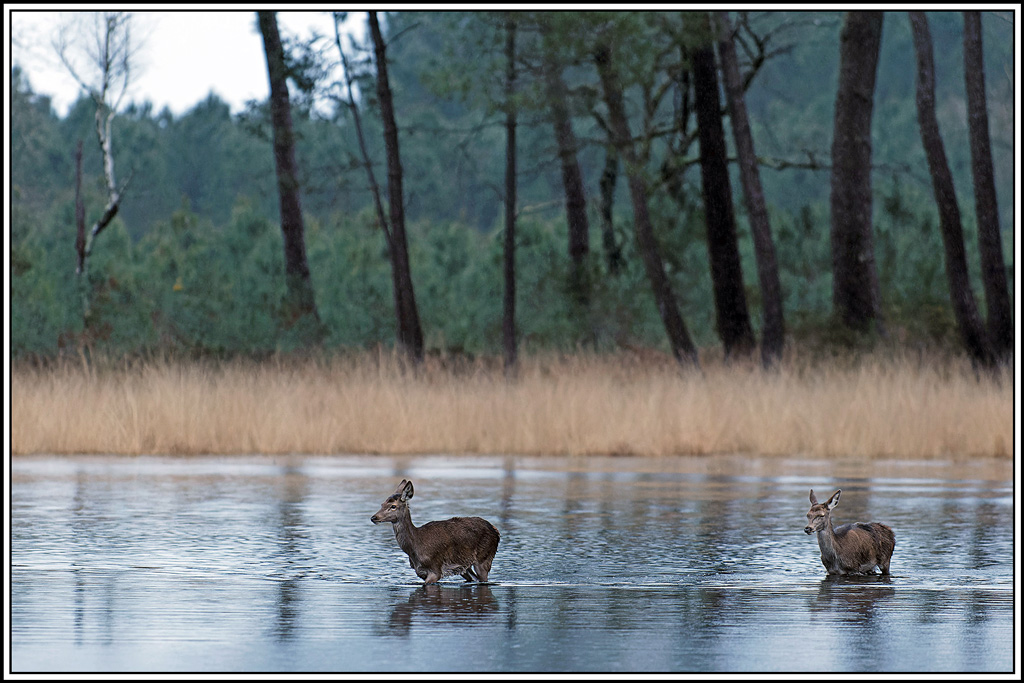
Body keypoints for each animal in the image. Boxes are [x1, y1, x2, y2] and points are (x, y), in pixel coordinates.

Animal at [371, 479, 500, 585]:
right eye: (382, 504)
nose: (374, 517)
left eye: (393, 506)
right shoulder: (421, 572)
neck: (415, 547)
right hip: (465, 567)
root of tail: (496, 531)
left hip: (485, 558)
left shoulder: (435, 569)